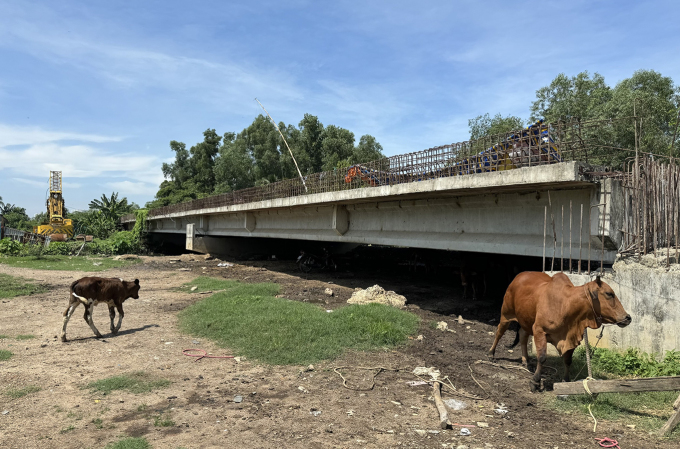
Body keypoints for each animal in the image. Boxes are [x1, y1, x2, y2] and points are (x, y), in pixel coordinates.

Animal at [488, 272, 632, 390]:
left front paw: (566, 381)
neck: (566, 304)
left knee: (523, 336)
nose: (628, 317)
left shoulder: (572, 338)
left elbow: (568, 360)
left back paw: (526, 361)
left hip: (525, 320)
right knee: (499, 333)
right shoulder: (539, 330)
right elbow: (542, 358)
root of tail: (518, 276)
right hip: (506, 314)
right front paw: (535, 382)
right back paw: (491, 354)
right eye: (609, 294)